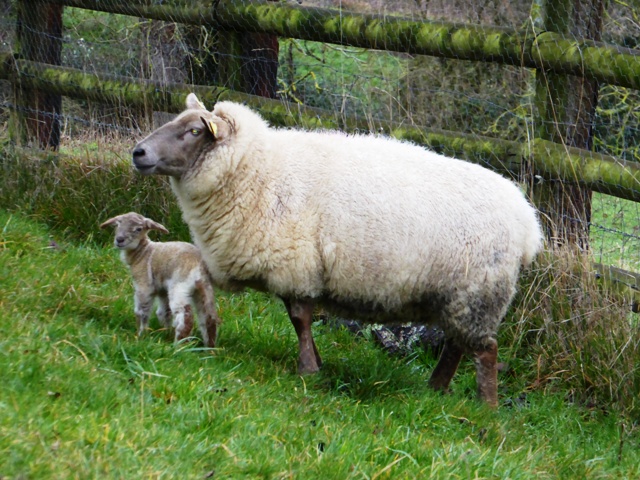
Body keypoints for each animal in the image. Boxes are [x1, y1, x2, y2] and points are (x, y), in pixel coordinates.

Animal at [100, 212, 221, 348]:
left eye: (139, 229)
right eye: (117, 225)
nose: (119, 240)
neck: (143, 252)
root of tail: (199, 265)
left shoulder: (144, 285)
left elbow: (142, 311)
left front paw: (141, 334)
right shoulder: (163, 290)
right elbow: (164, 312)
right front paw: (165, 332)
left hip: (179, 286)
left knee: (185, 317)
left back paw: (179, 346)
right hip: (203, 289)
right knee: (208, 317)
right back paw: (209, 347)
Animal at [131, 93, 544, 406]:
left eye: (193, 131)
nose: (138, 152)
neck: (256, 172)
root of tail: (527, 221)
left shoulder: (296, 263)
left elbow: (299, 318)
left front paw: (308, 370)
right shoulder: (297, 267)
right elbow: (298, 319)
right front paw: (316, 361)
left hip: (480, 292)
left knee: (484, 349)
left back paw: (485, 406)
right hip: (457, 295)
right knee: (457, 344)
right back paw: (435, 389)